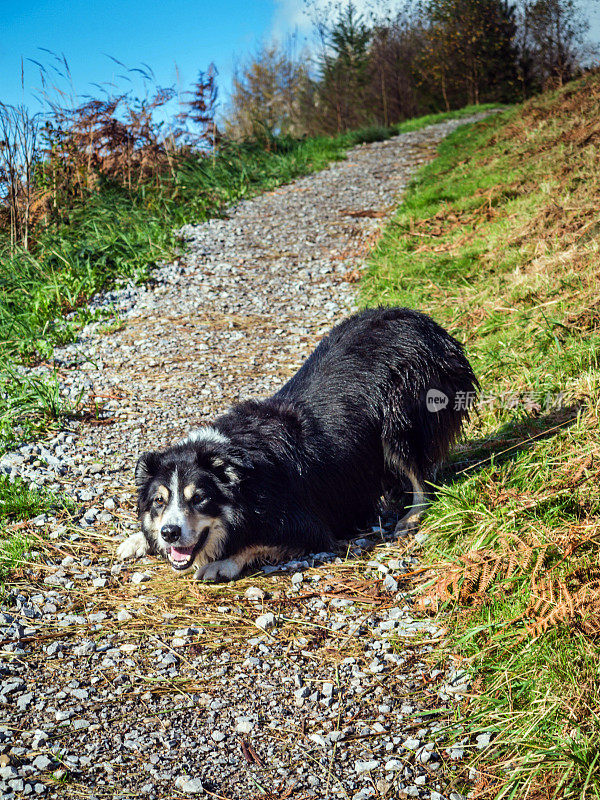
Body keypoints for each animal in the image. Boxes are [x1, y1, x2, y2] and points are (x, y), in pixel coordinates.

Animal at [117, 308, 478, 580]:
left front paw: (221, 563)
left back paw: (411, 517)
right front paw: (138, 539)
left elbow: (258, 542)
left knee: (421, 476)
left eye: (200, 499)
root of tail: (427, 324)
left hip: (400, 419)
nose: (170, 533)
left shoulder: (307, 524)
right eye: (159, 502)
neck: (242, 473)